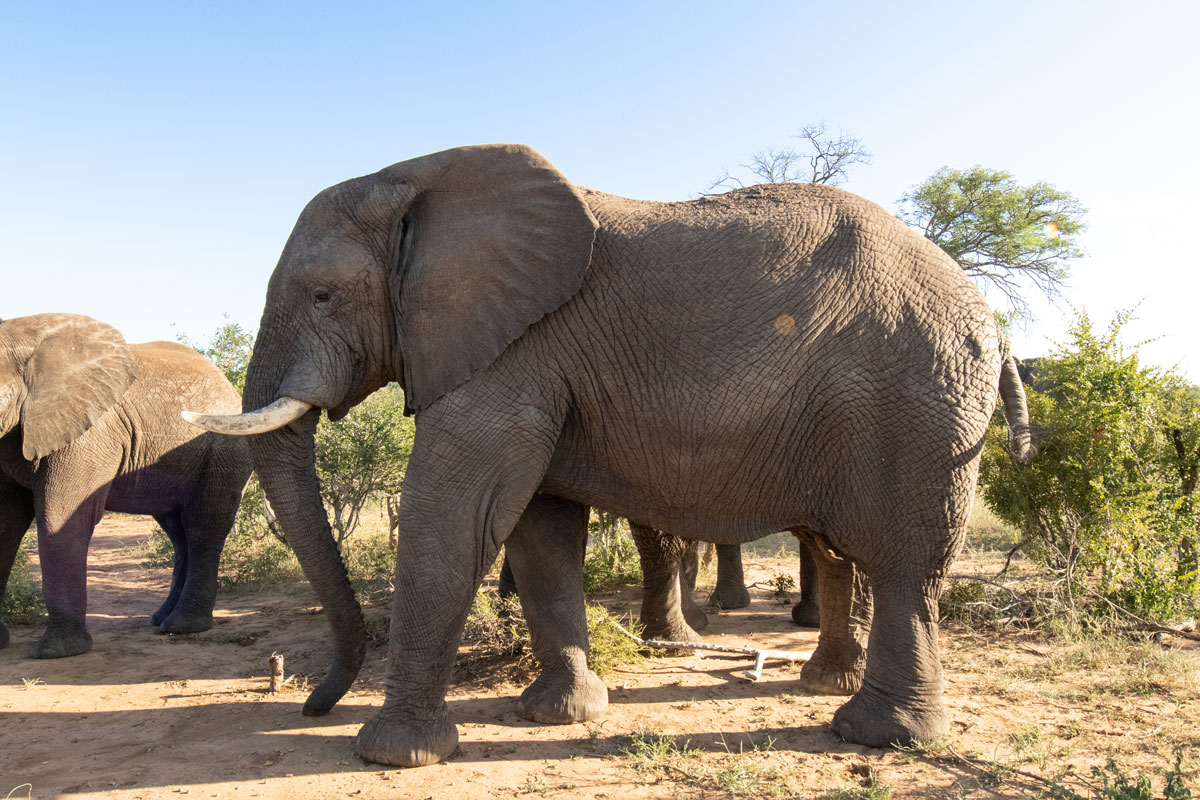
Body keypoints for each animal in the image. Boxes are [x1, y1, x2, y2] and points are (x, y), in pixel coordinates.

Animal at [0, 313, 252, 657]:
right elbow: (5, 523)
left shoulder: (90, 434)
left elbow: (61, 517)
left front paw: (56, 652)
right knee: (178, 531)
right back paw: (161, 621)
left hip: (224, 450)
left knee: (204, 525)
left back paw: (183, 626)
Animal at [186, 143, 1033, 766]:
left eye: (323, 296)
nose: (308, 701)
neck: (419, 180)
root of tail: (992, 324)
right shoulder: (528, 355)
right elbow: (541, 533)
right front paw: (559, 715)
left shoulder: (514, 352)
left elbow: (455, 518)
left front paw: (392, 754)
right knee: (843, 550)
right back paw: (830, 688)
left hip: (915, 401)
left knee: (905, 565)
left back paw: (877, 735)